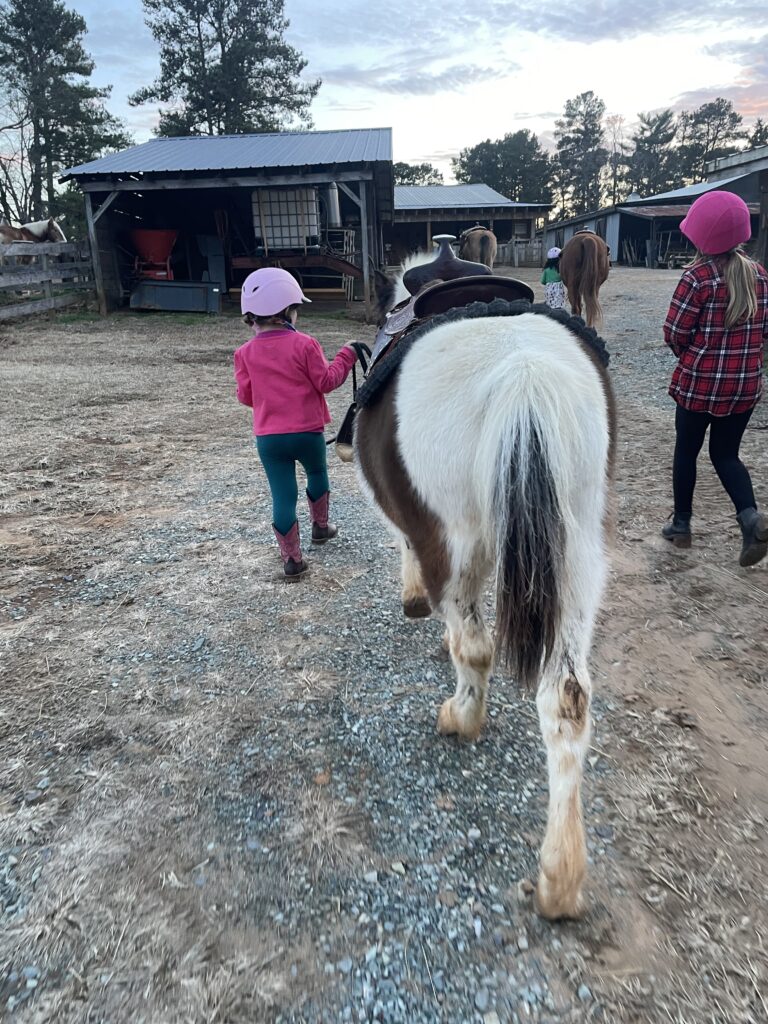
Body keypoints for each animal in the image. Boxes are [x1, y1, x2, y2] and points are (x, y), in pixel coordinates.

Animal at [354, 237, 618, 921]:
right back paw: (559, 879)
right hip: (578, 552)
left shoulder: (414, 527)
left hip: (457, 545)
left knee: (473, 645)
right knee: (567, 698)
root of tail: (522, 371)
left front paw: (411, 599)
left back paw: (461, 717)